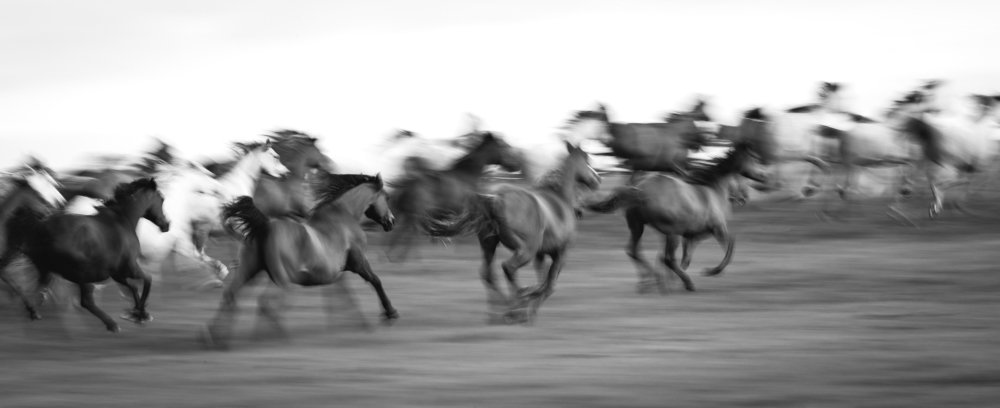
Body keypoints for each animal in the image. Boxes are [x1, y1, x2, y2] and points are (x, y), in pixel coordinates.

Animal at [3, 178, 169, 332]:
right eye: (161, 199)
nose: (166, 225)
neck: (122, 220)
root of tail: (38, 228)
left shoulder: (117, 274)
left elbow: (134, 288)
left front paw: (138, 313)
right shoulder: (129, 268)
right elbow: (147, 280)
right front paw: (139, 315)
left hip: (47, 269)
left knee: (36, 291)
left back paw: (33, 312)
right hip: (79, 273)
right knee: (85, 301)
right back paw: (111, 325)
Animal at [202, 173, 397, 348]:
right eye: (386, 197)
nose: (391, 221)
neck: (343, 217)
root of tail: (264, 226)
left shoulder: (337, 274)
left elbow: (343, 295)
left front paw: (351, 322)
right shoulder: (358, 263)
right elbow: (375, 281)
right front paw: (389, 313)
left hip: (250, 271)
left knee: (231, 295)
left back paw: (216, 338)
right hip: (282, 278)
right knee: (267, 303)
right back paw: (277, 337)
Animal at [386, 131, 523, 261]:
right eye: (505, 146)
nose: (516, 166)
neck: (467, 175)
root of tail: (405, 184)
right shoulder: (465, 210)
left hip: (406, 213)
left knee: (399, 232)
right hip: (414, 214)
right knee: (407, 233)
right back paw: (398, 257)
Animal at [424, 142, 601, 324]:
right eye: (587, 159)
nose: (597, 179)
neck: (560, 199)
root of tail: (496, 197)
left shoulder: (540, 254)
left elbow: (542, 279)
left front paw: (529, 309)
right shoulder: (560, 252)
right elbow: (549, 285)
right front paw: (528, 306)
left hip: (490, 245)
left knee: (488, 274)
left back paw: (499, 312)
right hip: (525, 250)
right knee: (508, 267)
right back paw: (514, 305)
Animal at [583, 130, 770, 294]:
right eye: (754, 158)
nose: (763, 177)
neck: (712, 190)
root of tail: (640, 189)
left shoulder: (691, 237)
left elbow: (684, 259)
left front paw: (669, 282)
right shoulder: (716, 228)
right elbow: (729, 248)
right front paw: (710, 271)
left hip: (639, 227)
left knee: (634, 251)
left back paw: (648, 282)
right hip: (671, 232)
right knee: (667, 259)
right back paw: (683, 283)